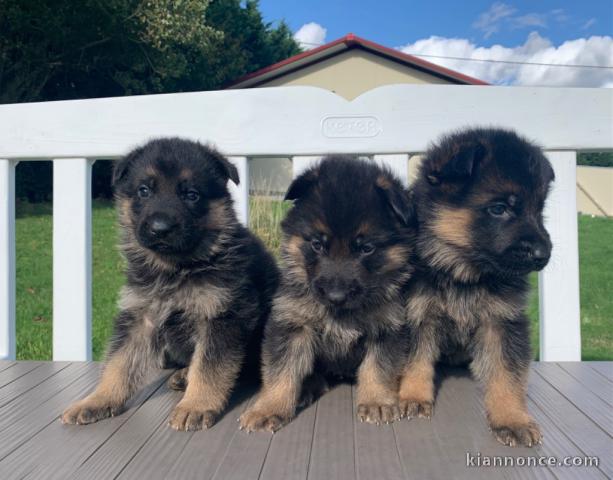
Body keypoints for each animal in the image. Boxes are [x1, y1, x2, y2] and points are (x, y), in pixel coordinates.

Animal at [61, 139, 278, 432]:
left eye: (191, 195)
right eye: (144, 191)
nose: (160, 228)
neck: (175, 268)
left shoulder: (223, 316)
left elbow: (209, 367)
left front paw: (195, 405)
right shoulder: (139, 316)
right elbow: (118, 363)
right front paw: (98, 399)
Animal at [237, 156, 414, 434]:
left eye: (366, 248)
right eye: (317, 244)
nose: (335, 295)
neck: (341, 313)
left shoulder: (388, 328)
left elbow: (378, 368)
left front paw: (376, 401)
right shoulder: (291, 325)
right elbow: (281, 371)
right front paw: (268, 408)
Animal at [400, 127, 552, 446]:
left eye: (539, 210)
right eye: (499, 209)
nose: (543, 255)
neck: (463, 273)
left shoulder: (502, 322)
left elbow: (506, 372)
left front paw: (511, 417)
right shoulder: (418, 314)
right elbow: (415, 359)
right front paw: (413, 396)